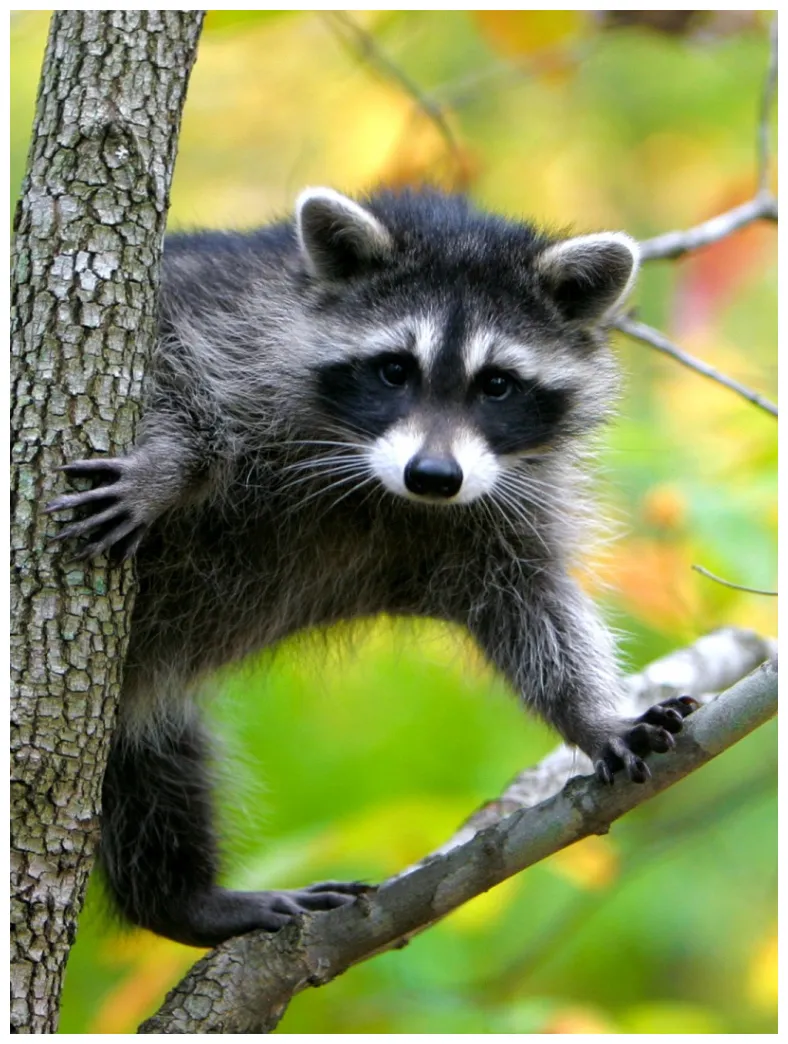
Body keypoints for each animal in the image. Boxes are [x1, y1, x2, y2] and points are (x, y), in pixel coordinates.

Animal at [47, 187, 696, 947]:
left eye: (498, 386)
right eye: (394, 369)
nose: (435, 476)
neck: (379, 485)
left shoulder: (501, 508)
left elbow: (532, 607)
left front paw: (594, 716)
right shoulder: (221, 314)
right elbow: (167, 364)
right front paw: (168, 466)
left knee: (154, 769)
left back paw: (181, 899)